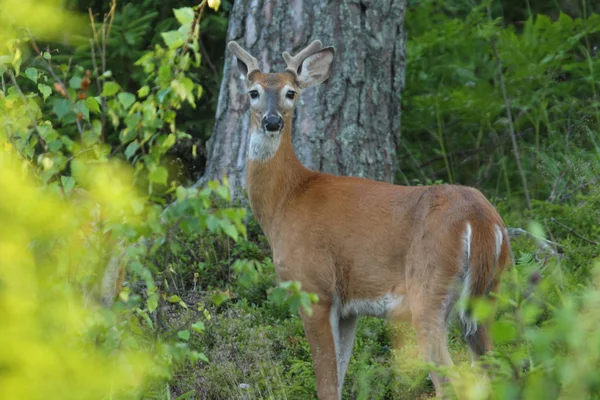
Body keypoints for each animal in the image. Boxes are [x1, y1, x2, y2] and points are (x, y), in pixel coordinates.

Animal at [227, 39, 512, 400]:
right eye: (253, 92)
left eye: (291, 92)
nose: (272, 121)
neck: (286, 200)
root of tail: (481, 219)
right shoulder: (348, 308)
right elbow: (339, 375)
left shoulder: (314, 287)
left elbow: (326, 384)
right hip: (489, 292)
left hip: (429, 288)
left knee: (450, 378)